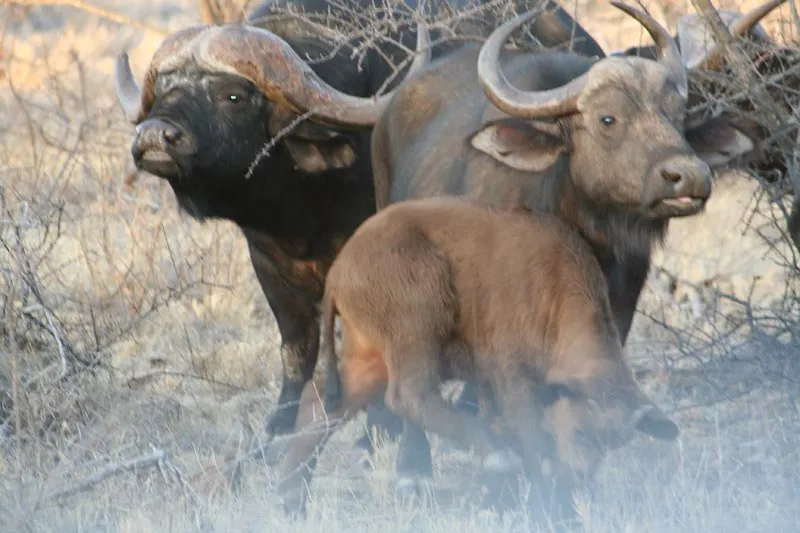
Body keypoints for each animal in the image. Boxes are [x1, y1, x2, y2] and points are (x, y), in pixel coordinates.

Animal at [112, 0, 607, 459]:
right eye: (163, 91)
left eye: (233, 95)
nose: (154, 136)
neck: (305, 211)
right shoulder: (268, 263)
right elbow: (296, 350)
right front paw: (278, 428)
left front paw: (377, 433)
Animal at [276, 195, 679, 521]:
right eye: (581, 431)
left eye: (613, 442)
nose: (579, 480)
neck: (553, 287)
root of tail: (340, 270)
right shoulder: (511, 376)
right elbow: (531, 438)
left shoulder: (487, 379)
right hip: (416, 327)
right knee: (408, 397)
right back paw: (494, 454)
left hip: (369, 357)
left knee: (321, 402)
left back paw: (291, 499)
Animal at [361, 1, 761, 493]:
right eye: (607, 119)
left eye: (677, 116)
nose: (689, 176)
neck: (574, 231)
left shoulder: (612, 317)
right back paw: (413, 467)